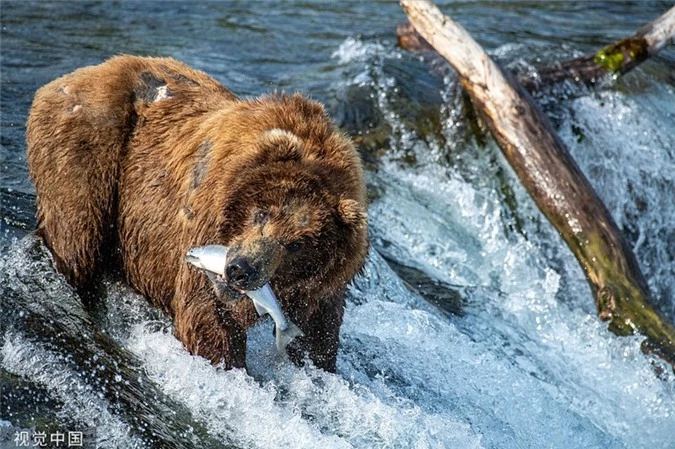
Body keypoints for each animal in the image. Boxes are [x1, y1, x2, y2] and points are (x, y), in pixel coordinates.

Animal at [26, 55, 370, 372]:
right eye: (262, 214)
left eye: (297, 244)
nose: (241, 269)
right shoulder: (205, 222)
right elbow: (206, 314)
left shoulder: (324, 288)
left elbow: (318, 337)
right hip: (90, 150)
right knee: (75, 240)